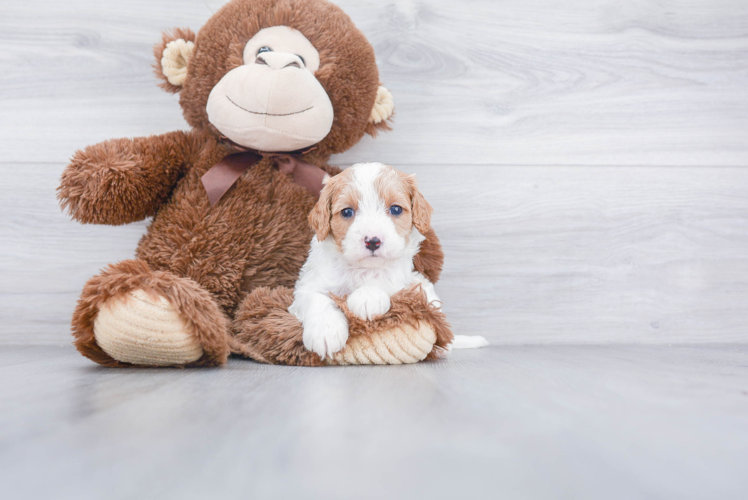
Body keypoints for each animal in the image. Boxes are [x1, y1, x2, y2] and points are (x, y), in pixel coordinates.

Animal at [290, 162, 488, 362]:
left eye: (396, 209)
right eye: (347, 212)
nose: (372, 241)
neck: (362, 269)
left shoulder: (400, 276)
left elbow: (384, 280)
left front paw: (368, 297)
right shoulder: (309, 283)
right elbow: (316, 298)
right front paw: (325, 332)